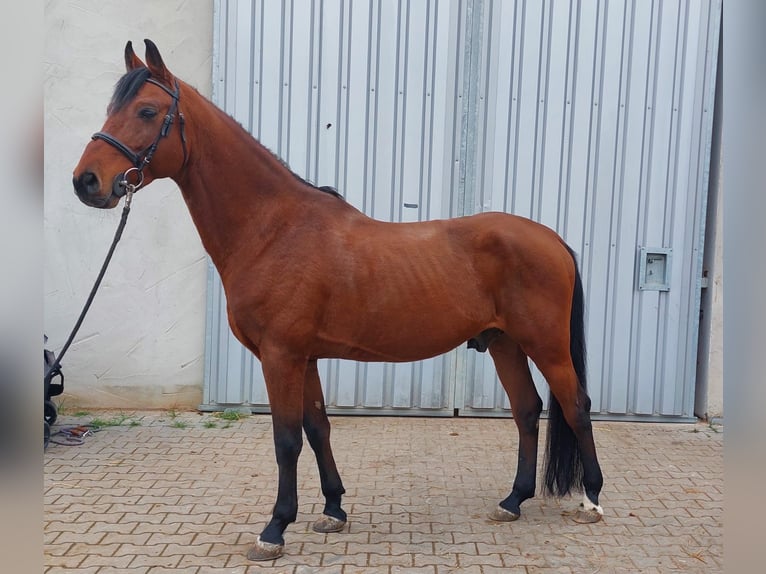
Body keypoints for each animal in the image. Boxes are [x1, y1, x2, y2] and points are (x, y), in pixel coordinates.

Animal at [72, 38, 608, 560]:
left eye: (146, 110)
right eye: (111, 107)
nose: (86, 181)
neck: (273, 229)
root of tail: (552, 239)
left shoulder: (280, 356)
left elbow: (286, 440)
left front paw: (274, 529)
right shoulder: (304, 357)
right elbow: (318, 430)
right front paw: (332, 510)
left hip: (546, 346)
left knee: (575, 405)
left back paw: (590, 501)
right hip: (503, 343)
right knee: (527, 410)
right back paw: (513, 501)